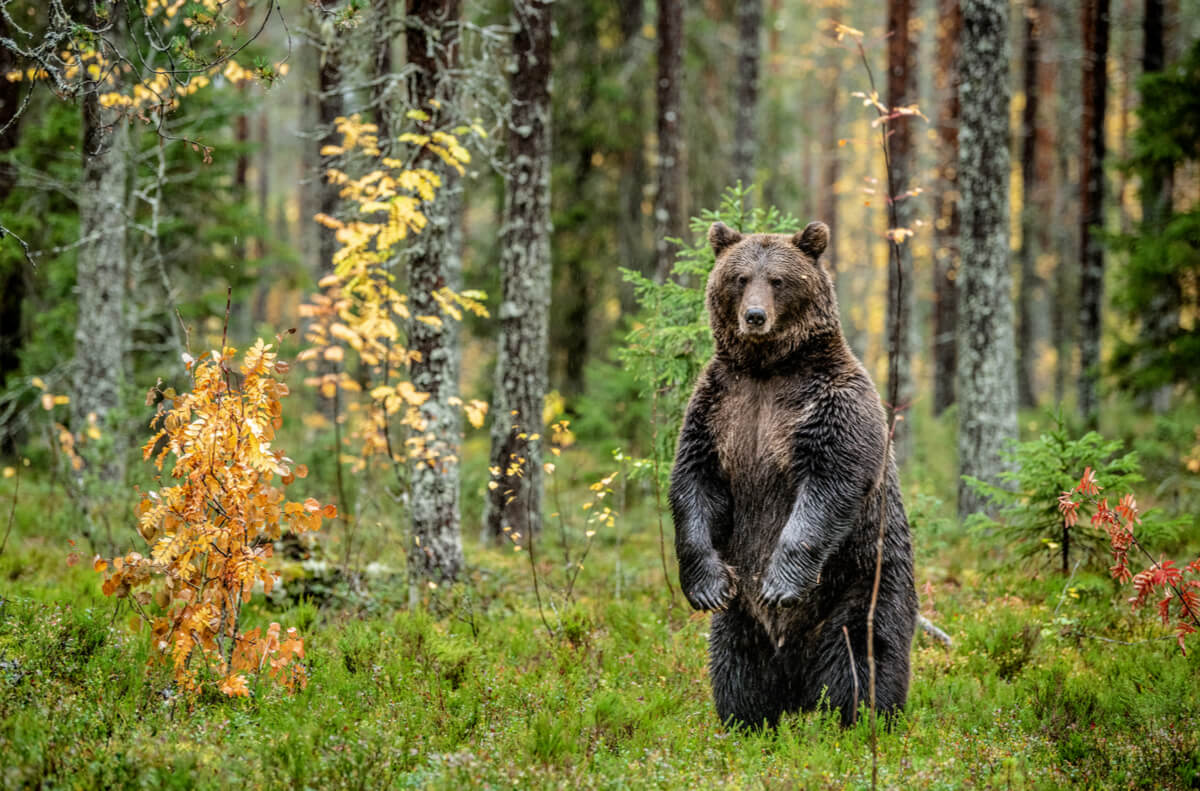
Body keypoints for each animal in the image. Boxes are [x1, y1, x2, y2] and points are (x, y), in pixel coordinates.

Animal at [667, 219, 916, 724]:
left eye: (778, 280)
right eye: (740, 277)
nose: (755, 316)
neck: (768, 369)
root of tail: (798, 679)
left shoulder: (830, 404)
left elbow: (829, 484)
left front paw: (780, 584)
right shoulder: (717, 409)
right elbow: (694, 483)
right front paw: (705, 588)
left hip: (862, 579)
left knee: (863, 654)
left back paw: (861, 719)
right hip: (743, 619)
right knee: (736, 665)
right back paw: (747, 720)